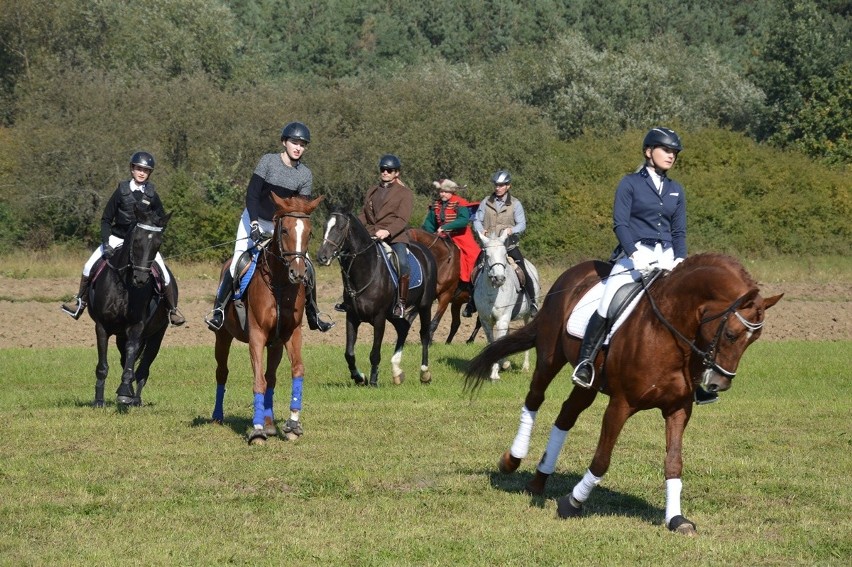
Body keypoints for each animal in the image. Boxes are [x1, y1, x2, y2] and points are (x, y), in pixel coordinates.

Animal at [86, 209, 173, 408]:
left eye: (158, 243)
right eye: (137, 240)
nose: (140, 278)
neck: (123, 284)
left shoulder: (136, 327)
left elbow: (132, 355)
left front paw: (125, 392)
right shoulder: (101, 326)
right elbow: (103, 366)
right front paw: (99, 400)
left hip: (156, 334)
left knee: (143, 367)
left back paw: (135, 398)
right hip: (120, 336)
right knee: (125, 360)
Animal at [211, 195, 322, 444]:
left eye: (309, 232)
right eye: (285, 230)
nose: (298, 274)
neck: (279, 284)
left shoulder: (291, 334)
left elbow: (296, 370)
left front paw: (292, 425)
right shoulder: (257, 335)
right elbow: (258, 381)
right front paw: (257, 430)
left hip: (276, 344)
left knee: (271, 377)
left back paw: (271, 424)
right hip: (222, 337)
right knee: (222, 372)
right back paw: (217, 416)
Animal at [320, 206, 440, 388]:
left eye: (340, 228)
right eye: (325, 227)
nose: (322, 257)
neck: (365, 271)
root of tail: (426, 252)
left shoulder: (379, 318)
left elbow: (375, 353)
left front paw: (373, 380)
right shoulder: (351, 317)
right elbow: (349, 353)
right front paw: (359, 377)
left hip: (424, 306)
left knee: (424, 334)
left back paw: (424, 373)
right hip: (393, 314)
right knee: (403, 327)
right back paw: (397, 372)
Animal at [466, 255, 784, 536]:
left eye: (754, 339)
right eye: (731, 334)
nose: (719, 384)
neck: (670, 332)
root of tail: (573, 273)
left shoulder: (679, 408)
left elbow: (674, 462)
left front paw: (676, 519)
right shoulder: (621, 404)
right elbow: (602, 459)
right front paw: (572, 503)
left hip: (588, 383)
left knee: (566, 415)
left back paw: (540, 479)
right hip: (549, 358)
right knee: (534, 399)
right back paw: (513, 460)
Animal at [472, 231, 540, 382]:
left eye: (504, 254)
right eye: (487, 254)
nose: (499, 279)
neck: (492, 293)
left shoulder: (502, 319)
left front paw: (495, 374)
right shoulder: (486, 321)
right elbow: (492, 342)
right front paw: (500, 365)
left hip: (528, 316)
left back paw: (525, 367)